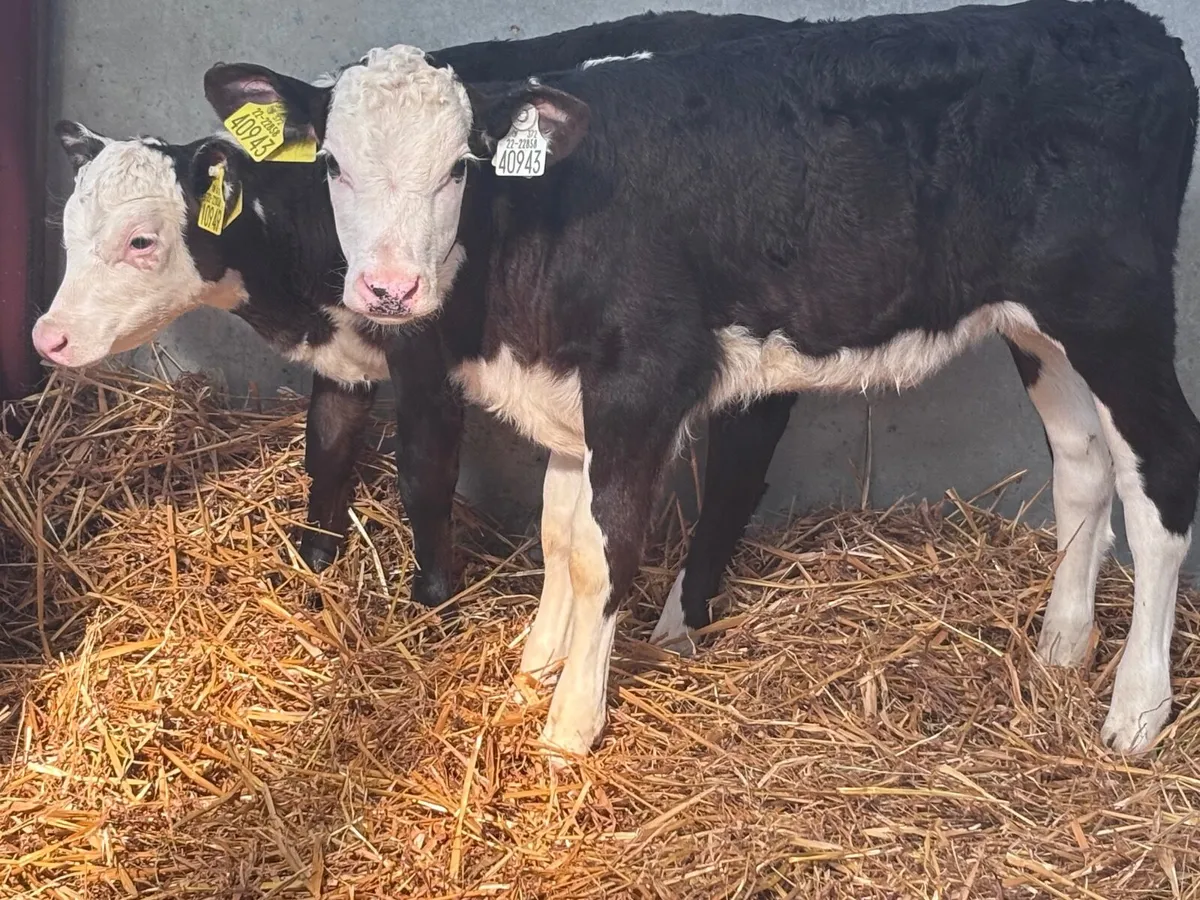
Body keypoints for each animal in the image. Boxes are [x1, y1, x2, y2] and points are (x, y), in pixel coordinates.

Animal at [33, 11, 800, 626]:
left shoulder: (429, 358)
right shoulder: (344, 354)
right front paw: (315, 557)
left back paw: (680, 622)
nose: (48, 335)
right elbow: (327, 449)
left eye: (141, 240)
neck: (305, 288)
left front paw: (432, 599)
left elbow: (424, 475)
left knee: (737, 474)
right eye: (65, 227)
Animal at [210, 0, 1200, 760]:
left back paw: (1136, 711)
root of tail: (1134, 27)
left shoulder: (642, 384)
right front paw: (535, 669)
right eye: (332, 164)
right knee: (1083, 461)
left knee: (1163, 476)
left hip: (1116, 310)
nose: (389, 288)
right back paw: (1063, 644)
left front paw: (571, 721)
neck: (544, 215)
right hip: (1038, 325)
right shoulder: (567, 394)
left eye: (460, 165)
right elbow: (559, 539)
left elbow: (607, 546)